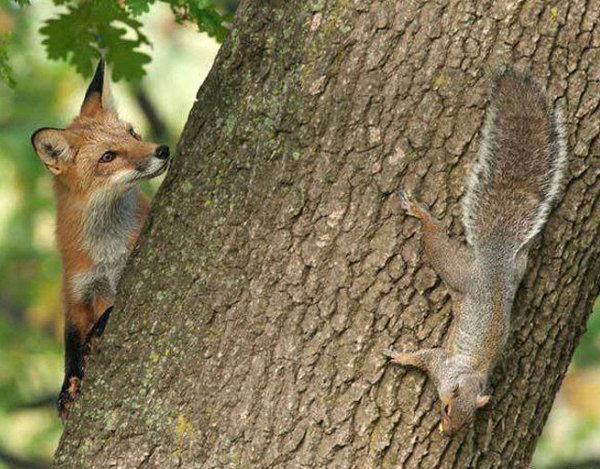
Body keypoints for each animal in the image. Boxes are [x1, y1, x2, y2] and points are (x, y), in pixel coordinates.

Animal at [31, 59, 170, 420]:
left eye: (132, 133)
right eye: (108, 156)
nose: (162, 150)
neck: (106, 250)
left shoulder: (126, 273)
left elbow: (107, 314)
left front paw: (95, 337)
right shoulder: (75, 291)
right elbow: (70, 344)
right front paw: (68, 387)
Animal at [384, 67, 568, 436]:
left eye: (467, 421)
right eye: (445, 409)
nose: (447, 432)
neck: (467, 377)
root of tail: (495, 257)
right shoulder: (442, 364)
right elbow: (423, 357)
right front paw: (401, 356)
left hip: (510, 269)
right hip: (454, 266)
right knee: (434, 236)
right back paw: (422, 213)